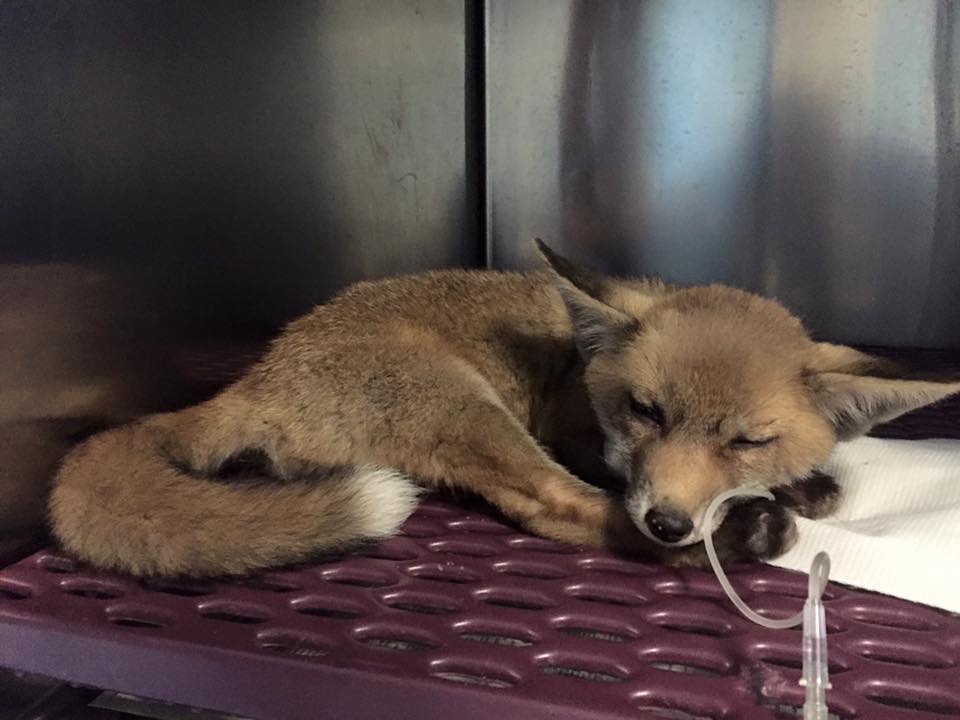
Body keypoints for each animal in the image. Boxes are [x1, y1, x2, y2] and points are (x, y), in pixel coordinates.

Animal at [48, 240, 960, 577]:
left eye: (747, 439)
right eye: (646, 410)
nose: (670, 522)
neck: (575, 363)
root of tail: (262, 373)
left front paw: (802, 482)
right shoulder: (570, 430)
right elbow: (598, 485)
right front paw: (753, 514)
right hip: (473, 409)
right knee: (554, 508)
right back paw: (741, 537)